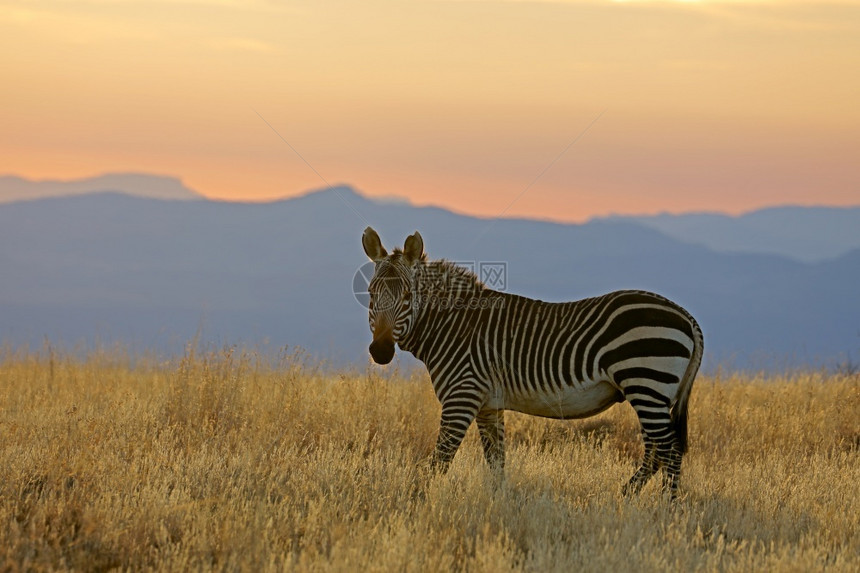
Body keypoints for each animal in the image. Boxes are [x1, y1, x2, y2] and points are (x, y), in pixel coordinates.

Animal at [360, 227, 704, 496]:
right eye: (371, 295)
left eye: (407, 297)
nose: (381, 351)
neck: (453, 325)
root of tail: (686, 316)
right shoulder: (488, 405)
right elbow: (496, 462)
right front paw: (498, 505)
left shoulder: (462, 397)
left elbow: (439, 461)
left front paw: (417, 501)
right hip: (652, 392)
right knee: (657, 449)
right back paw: (628, 496)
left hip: (646, 382)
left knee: (670, 449)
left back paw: (666, 509)